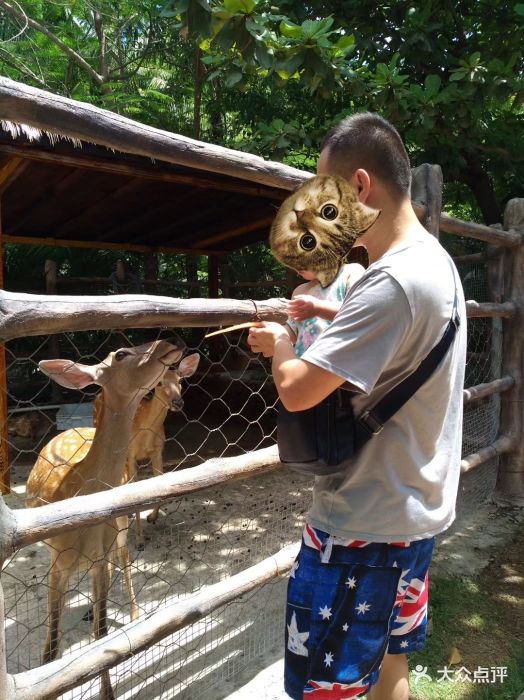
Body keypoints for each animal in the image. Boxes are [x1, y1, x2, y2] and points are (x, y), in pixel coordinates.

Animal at [27, 336, 186, 696]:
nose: (168, 342)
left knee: (121, 560)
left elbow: (101, 635)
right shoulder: (57, 561)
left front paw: (108, 693)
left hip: (116, 533)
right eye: (121, 354)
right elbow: (51, 647)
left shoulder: (100, 556)